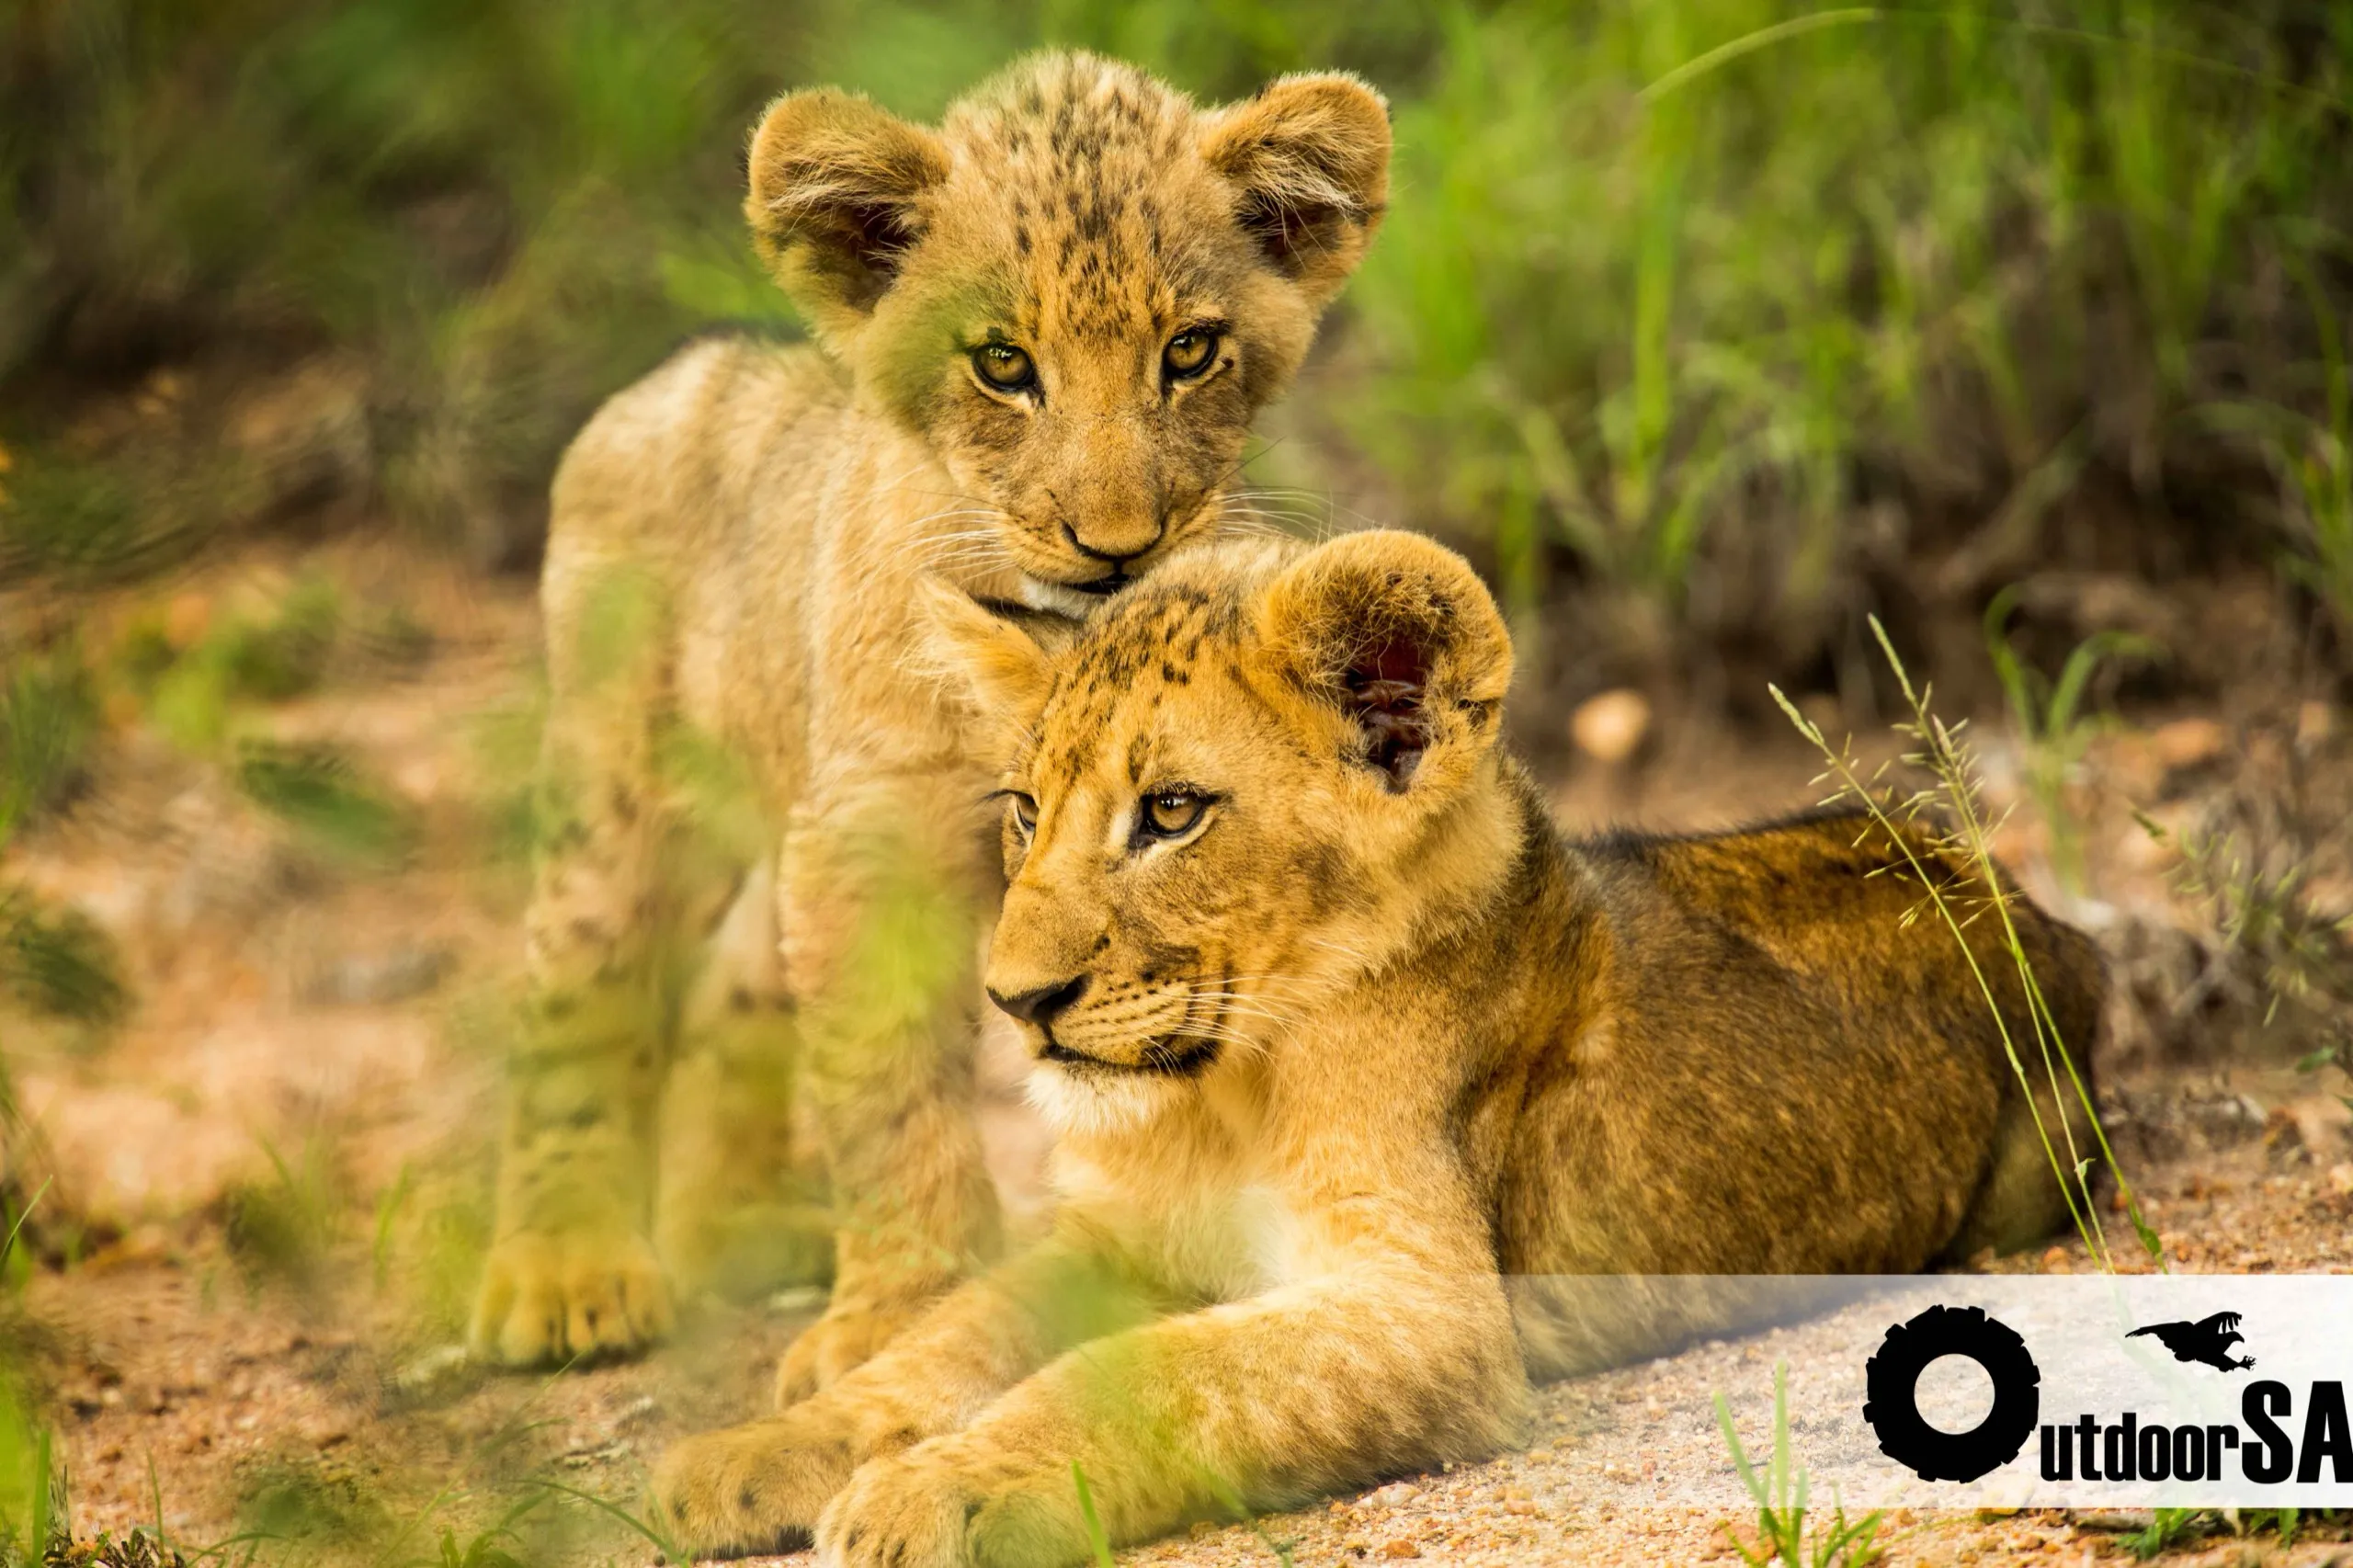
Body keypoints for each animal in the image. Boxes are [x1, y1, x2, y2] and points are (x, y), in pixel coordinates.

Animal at [468, 51, 1392, 1402]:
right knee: (576, 985)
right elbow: (889, 1089)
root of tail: (660, 381)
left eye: (1190, 349)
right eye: (1002, 363)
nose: (1118, 542)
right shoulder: (877, 831)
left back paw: (739, 1232)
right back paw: (568, 1273)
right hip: (618, 782)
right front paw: (899, 1318)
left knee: (736, 979)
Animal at [648, 530, 2106, 1564]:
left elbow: (1148, 1371)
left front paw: (938, 1488)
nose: (1018, 1000)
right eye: (1021, 810)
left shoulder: (1427, 1311)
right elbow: (945, 1341)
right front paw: (756, 1449)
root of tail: (2025, 902)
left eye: (1170, 812)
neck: (1217, 1095)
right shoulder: (1111, 1239)